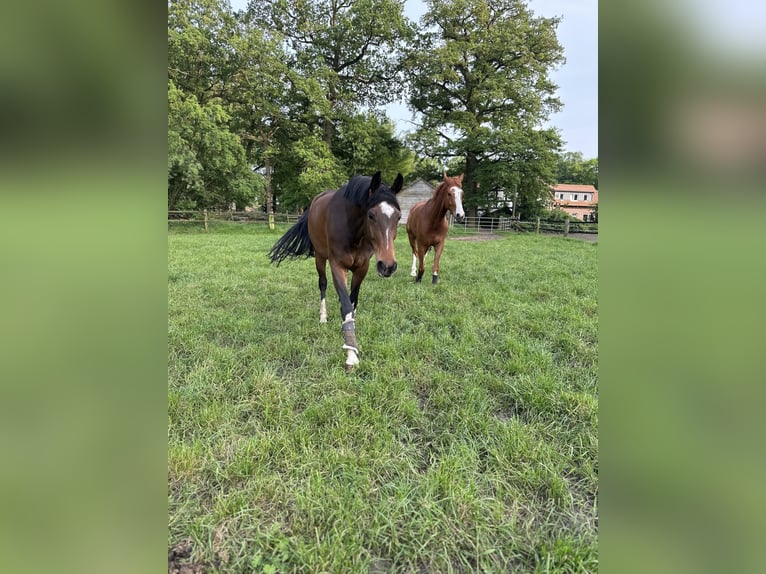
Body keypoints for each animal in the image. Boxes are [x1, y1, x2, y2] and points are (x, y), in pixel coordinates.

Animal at [268, 171, 404, 372]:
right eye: (371, 215)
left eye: (398, 217)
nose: (387, 266)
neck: (354, 230)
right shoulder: (337, 266)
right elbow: (346, 305)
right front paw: (351, 356)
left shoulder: (361, 268)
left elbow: (352, 302)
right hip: (320, 257)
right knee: (323, 284)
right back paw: (323, 317)